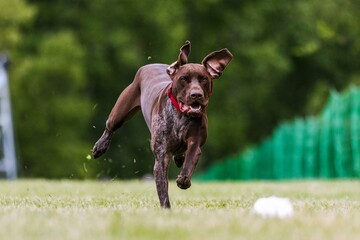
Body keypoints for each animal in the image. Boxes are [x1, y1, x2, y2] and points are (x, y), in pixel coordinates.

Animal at [93, 41, 232, 208]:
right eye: (183, 79)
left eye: (204, 79)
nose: (196, 95)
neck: (180, 115)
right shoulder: (161, 155)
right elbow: (163, 190)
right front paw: (167, 208)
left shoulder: (195, 142)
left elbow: (190, 160)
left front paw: (183, 179)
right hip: (120, 111)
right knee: (110, 127)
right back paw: (100, 146)